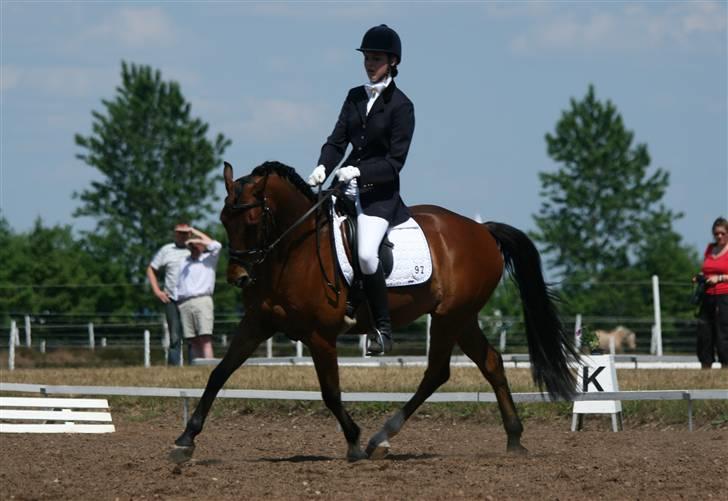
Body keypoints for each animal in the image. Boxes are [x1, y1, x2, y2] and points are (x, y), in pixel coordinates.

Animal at [172, 162, 580, 462]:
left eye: (254, 222)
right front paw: (186, 439)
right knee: (491, 363)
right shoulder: (257, 323)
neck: (291, 251)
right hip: (462, 318)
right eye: (224, 219)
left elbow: (330, 393)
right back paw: (514, 438)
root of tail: (482, 230)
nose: (238, 277)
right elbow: (219, 373)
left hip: (450, 317)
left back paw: (380, 438)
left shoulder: (320, 336)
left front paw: (353, 441)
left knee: (437, 372)